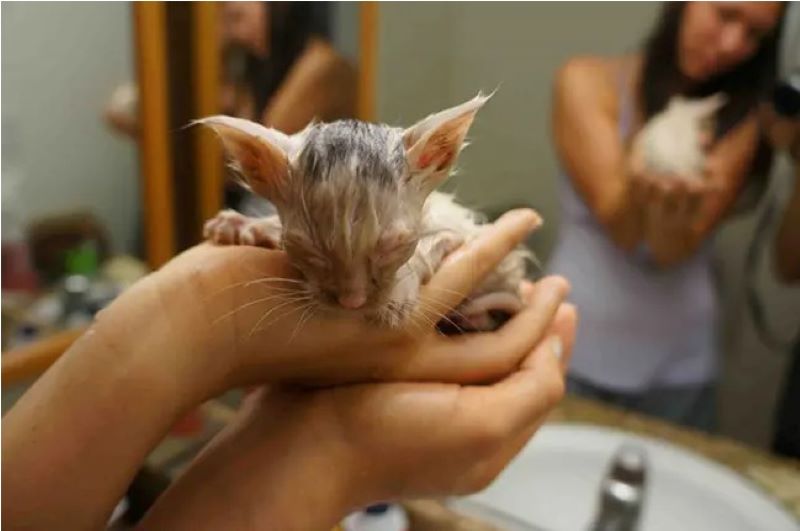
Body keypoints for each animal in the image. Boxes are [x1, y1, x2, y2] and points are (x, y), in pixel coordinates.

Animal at [198, 94, 536, 328]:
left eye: (394, 247)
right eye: (309, 250)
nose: (352, 302)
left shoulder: (458, 230)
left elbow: (433, 243)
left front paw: (399, 292)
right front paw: (243, 225)